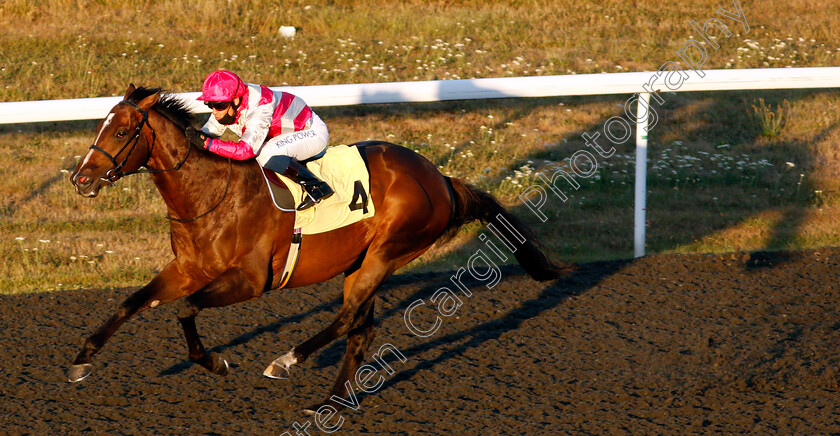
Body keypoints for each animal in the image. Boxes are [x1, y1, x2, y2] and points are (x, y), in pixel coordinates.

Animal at [67, 85, 572, 412]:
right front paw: (80, 362)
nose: (80, 179)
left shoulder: (250, 280)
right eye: (100, 126)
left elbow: (187, 309)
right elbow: (134, 301)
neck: (210, 193)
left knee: (347, 320)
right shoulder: (190, 268)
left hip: (387, 253)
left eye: (121, 133)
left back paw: (286, 362)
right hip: (361, 261)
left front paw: (216, 361)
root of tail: (440, 178)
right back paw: (329, 401)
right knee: (361, 330)